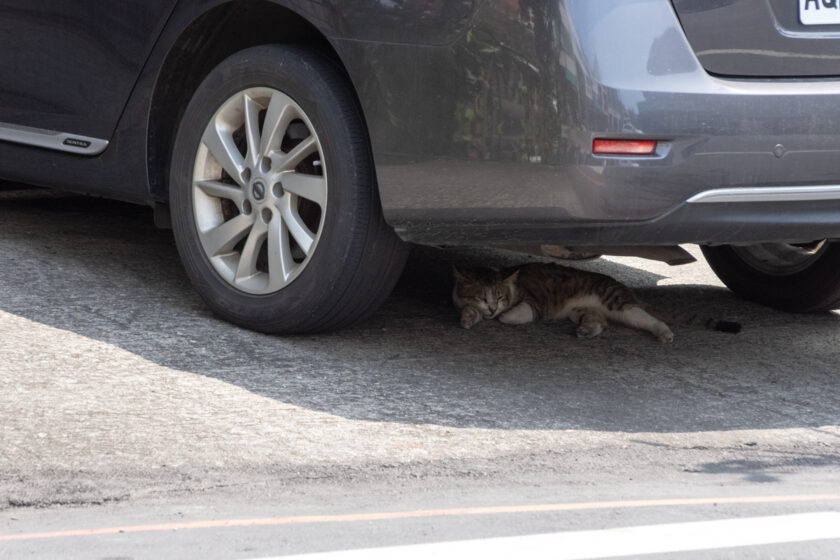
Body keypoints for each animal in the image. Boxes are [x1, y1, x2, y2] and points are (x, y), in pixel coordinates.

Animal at [452, 262, 740, 342]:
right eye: (483, 297)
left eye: (500, 297)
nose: (492, 308)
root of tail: (627, 289)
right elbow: (469, 311)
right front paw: (469, 317)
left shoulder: (533, 302)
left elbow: (516, 314)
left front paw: (503, 315)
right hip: (584, 310)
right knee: (601, 323)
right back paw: (586, 330)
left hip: (618, 303)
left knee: (650, 319)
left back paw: (664, 333)